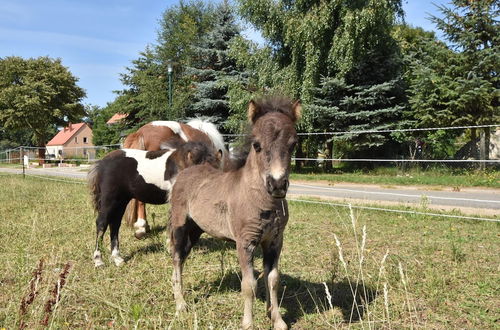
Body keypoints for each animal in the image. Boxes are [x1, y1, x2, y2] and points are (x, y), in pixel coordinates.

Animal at [87, 141, 220, 266]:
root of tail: (102, 163)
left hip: (121, 201)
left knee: (114, 224)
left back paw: (117, 258)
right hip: (109, 200)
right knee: (102, 224)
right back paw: (98, 260)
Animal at [168, 97, 300, 330]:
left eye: (294, 144)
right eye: (256, 145)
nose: (277, 185)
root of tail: (187, 170)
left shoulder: (274, 241)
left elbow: (273, 279)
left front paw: (277, 320)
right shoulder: (245, 242)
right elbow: (249, 284)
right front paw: (248, 323)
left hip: (195, 230)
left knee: (182, 258)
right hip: (180, 226)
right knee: (176, 259)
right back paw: (181, 305)